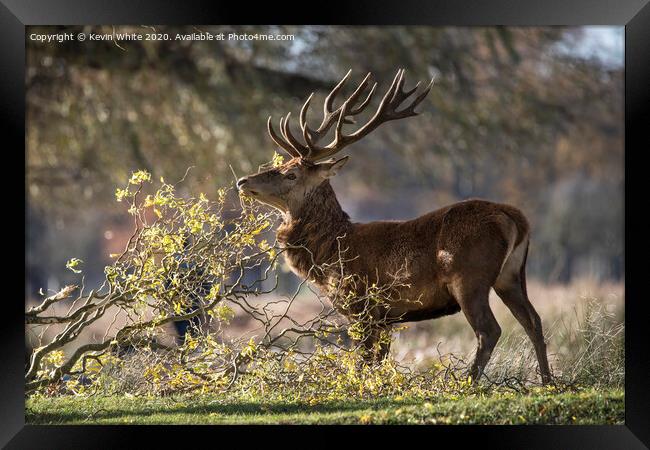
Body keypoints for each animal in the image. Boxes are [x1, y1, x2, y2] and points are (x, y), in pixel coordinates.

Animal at [235, 67, 548, 384]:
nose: (243, 181)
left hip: (469, 276)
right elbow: (379, 361)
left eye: (291, 174)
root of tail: (515, 218)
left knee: (489, 330)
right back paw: (547, 382)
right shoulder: (386, 317)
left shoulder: (362, 304)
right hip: (511, 275)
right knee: (533, 321)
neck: (331, 252)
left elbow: (363, 361)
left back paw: (468, 384)